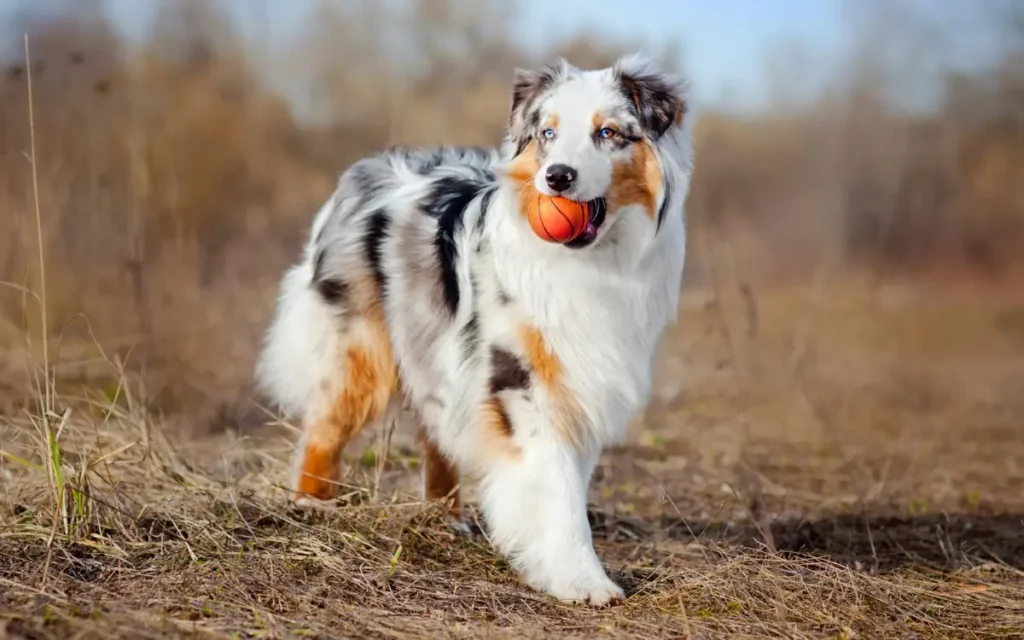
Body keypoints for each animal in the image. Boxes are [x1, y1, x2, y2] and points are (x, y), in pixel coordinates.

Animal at [252, 54, 692, 602]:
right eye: (547, 134)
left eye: (608, 133)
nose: (557, 178)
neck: (590, 263)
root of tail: (364, 170)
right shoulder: (520, 381)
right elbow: (557, 490)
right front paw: (581, 580)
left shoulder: (580, 381)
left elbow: (567, 481)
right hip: (361, 349)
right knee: (326, 427)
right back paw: (311, 504)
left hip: (435, 351)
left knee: (435, 431)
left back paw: (446, 517)